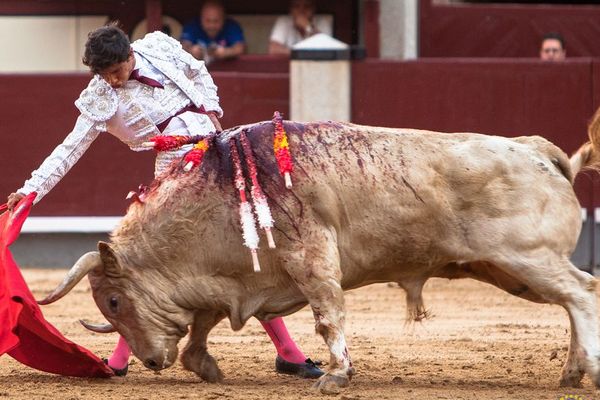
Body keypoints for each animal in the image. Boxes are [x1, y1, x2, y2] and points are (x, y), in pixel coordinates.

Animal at [41, 111, 600, 392]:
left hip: (526, 258)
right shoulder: (235, 282)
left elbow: (328, 315)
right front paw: (205, 366)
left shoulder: (310, 259)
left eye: (115, 302)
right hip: (511, 271)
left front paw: (335, 374)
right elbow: (204, 323)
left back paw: (586, 368)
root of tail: (539, 151)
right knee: (573, 303)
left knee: (582, 294)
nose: (152, 361)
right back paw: (569, 373)